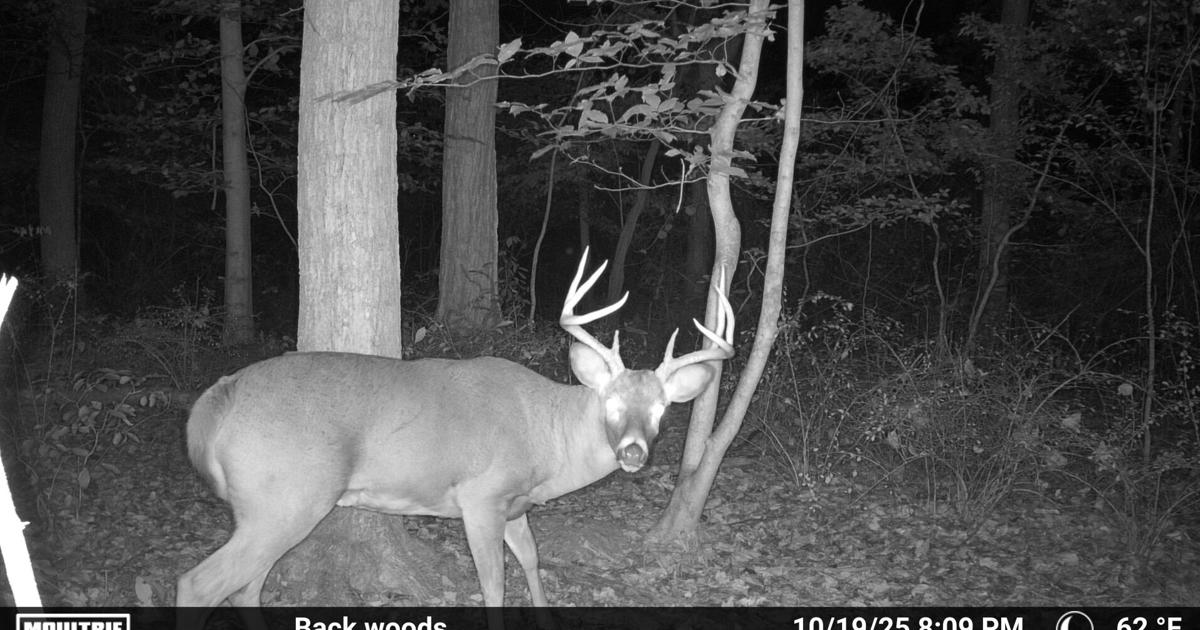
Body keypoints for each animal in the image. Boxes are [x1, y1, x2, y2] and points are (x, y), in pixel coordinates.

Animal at [176, 249, 734, 628]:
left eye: (662, 408)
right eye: (612, 402)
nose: (634, 452)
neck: (546, 439)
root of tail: (217, 398)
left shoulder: (514, 504)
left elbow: (532, 560)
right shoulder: (480, 495)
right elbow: (493, 584)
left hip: (267, 507)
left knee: (243, 588)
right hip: (287, 496)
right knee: (199, 583)